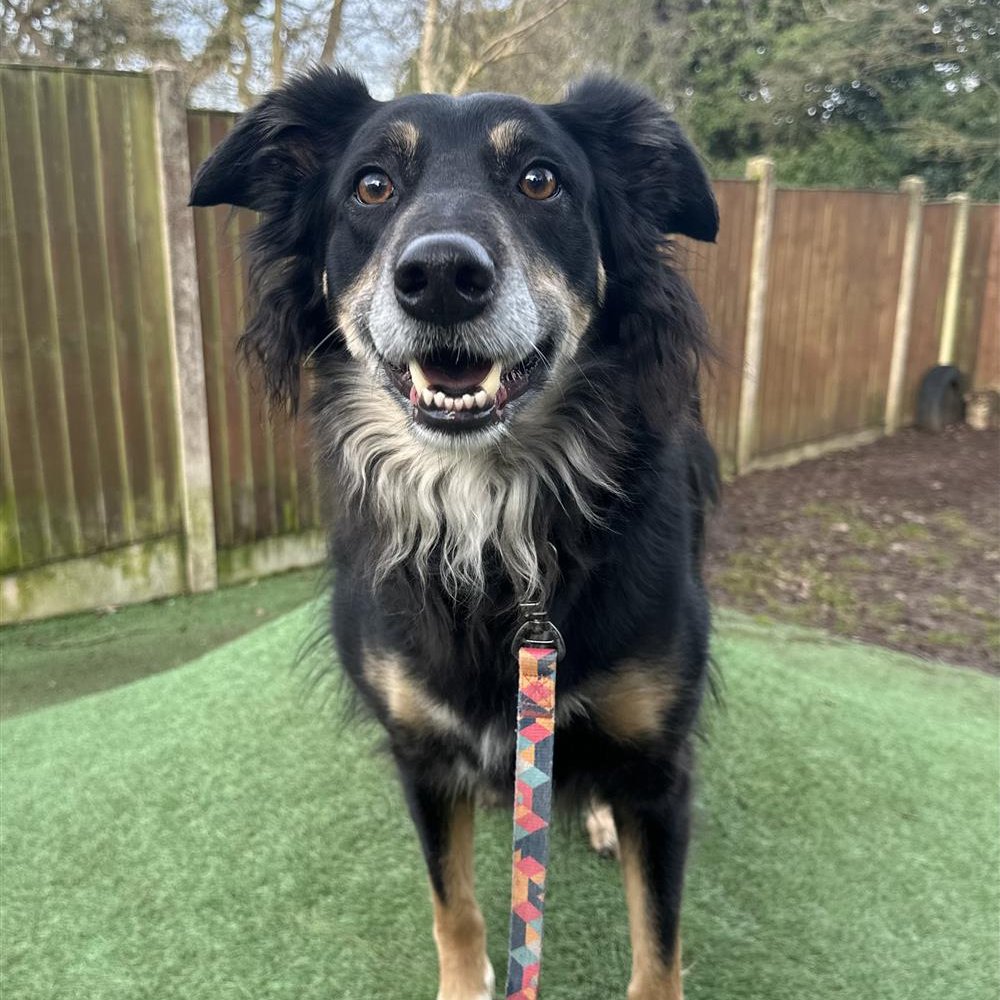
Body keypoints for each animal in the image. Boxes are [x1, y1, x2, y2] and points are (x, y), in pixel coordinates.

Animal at [189, 66, 720, 996]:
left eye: (541, 179)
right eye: (372, 186)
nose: (440, 275)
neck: (490, 513)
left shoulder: (660, 771)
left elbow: (658, 950)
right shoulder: (423, 752)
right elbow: (457, 905)